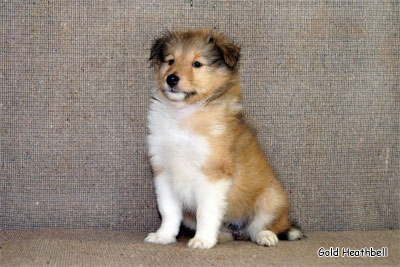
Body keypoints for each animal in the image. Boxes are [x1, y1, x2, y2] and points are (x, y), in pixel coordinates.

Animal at [145, 29, 302, 249]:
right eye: (170, 61)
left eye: (197, 64)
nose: (171, 79)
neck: (184, 113)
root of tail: (238, 230)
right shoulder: (163, 171)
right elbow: (169, 211)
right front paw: (164, 236)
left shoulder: (213, 173)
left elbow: (206, 211)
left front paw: (202, 240)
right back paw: (220, 236)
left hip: (272, 199)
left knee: (259, 227)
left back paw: (265, 236)